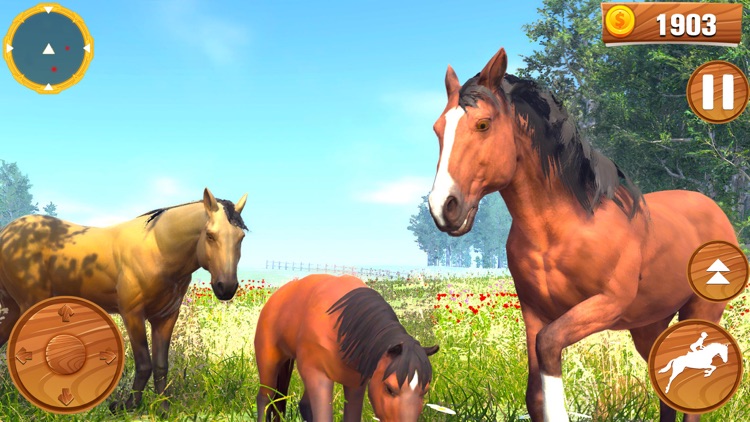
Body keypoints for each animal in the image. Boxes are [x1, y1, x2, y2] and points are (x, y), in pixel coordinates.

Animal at [0, 187, 248, 414]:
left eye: (241, 237)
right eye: (210, 235)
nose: (226, 287)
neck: (158, 249)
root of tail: (7, 233)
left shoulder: (165, 317)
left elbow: (160, 365)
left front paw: (163, 408)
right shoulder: (133, 314)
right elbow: (144, 363)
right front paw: (127, 406)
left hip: (14, 308)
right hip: (30, 306)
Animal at [254, 274, 439, 422]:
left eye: (424, 392)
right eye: (389, 388)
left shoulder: (356, 384)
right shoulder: (317, 375)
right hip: (269, 361)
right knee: (265, 399)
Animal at [427, 46, 738, 422]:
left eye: (483, 124)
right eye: (438, 129)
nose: (443, 207)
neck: (561, 228)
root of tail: (715, 211)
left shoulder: (605, 304)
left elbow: (549, 353)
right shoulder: (534, 311)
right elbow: (535, 395)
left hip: (701, 311)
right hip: (649, 324)